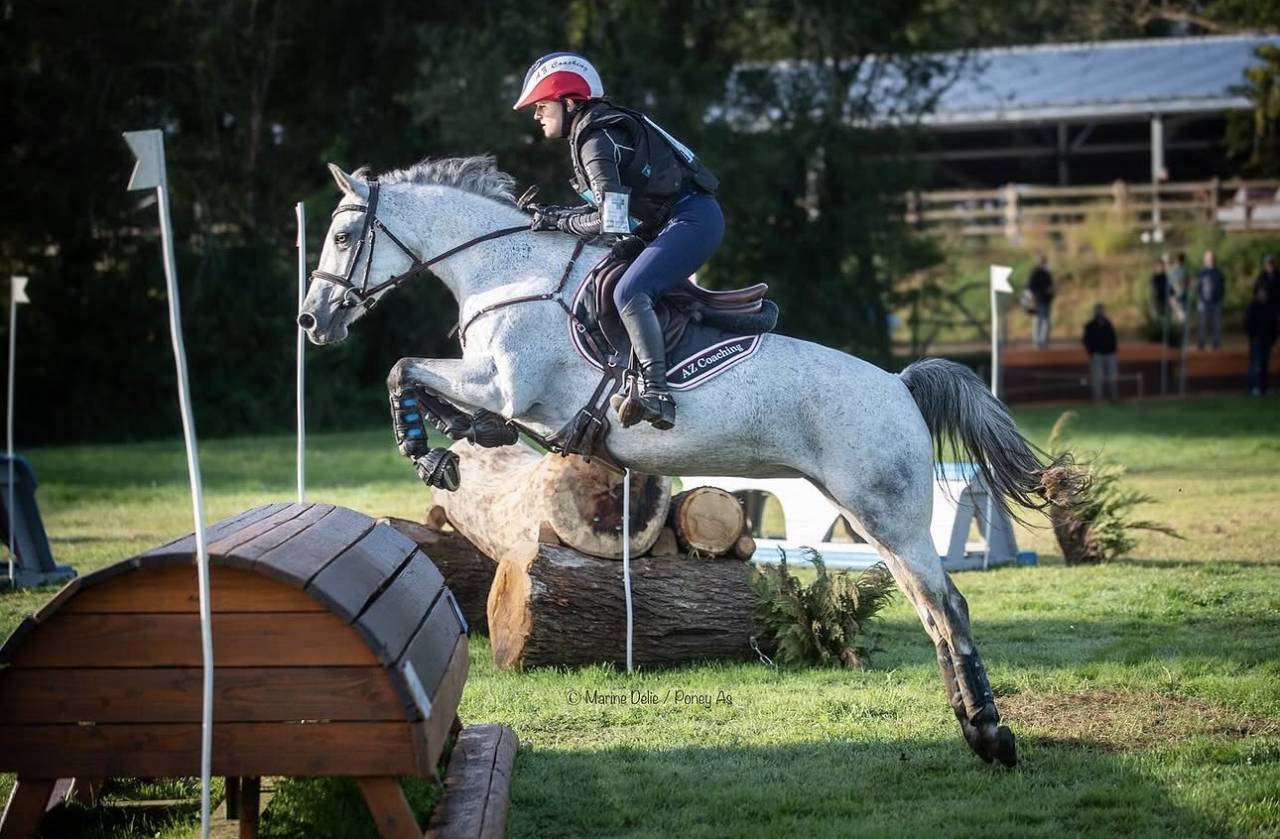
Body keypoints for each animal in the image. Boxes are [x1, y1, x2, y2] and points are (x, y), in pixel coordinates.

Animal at [297, 155, 1080, 768]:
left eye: (342, 235)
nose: (313, 321)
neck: (506, 272)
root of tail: (899, 383)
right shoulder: (498, 392)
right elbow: (429, 385)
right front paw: (453, 439)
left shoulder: (504, 384)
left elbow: (403, 367)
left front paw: (427, 455)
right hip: (873, 518)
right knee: (931, 610)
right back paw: (971, 729)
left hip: (892, 516)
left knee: (949, 606)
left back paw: (992, 736)